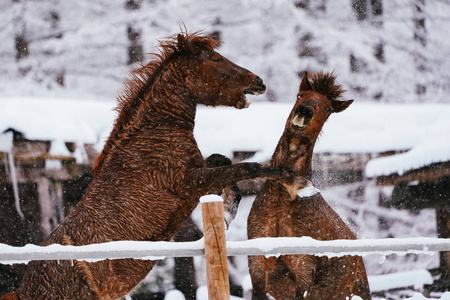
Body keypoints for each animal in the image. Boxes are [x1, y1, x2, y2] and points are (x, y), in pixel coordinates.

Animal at [1, 31, 314, 300]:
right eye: (215, 59)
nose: (258, 81)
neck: (155, 132)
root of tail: (24, 289)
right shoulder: (189, 183)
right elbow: (248, 167)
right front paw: (297, 184)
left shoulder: (197, 171)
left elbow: (225, 162)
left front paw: (229, 208)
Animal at [248, 71, 370, 298]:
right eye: (299, 95)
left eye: (328, 108)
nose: (304, 111)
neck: (281, 201)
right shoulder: (257, 261)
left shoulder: (303, 265)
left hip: (358, 288)